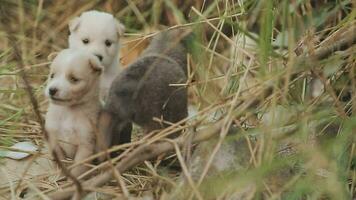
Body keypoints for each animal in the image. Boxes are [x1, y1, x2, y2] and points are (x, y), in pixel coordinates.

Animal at [44, 48, 103, 177]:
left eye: (74, 79)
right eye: (52, 75)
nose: (52, 90)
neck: (68, 111)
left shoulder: (86, 144)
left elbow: (78, 168)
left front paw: (72, 180)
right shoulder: (53, 139)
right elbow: (59, 161)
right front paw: (58, 176)